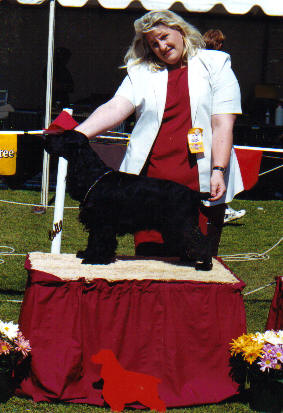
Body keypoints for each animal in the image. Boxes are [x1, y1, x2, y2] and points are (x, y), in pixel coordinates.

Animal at [43, 130, 213, 270]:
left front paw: (94, 259)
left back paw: (205, 265)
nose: (45, 136)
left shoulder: (103, 222)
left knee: (201, 242)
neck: (93, 174)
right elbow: (93, 240)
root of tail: (193, 193)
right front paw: (87, 254)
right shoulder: (96, 222)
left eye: (64, 136)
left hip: (181, 224)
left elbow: (100, 240)